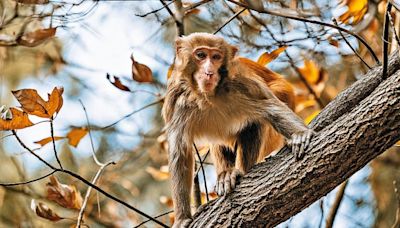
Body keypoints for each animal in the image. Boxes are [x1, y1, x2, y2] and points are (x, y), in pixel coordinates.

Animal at [161, 33, 314, 227]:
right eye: (201, 55)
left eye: (216, 57)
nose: (209, 72)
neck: (208, 96)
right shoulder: (176, 99)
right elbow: (180, 153)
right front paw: (182, 218)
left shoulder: (240, 83)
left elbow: (270, 107)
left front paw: (299, 135)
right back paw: (225, 174)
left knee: (256, 120)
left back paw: (239, 171)